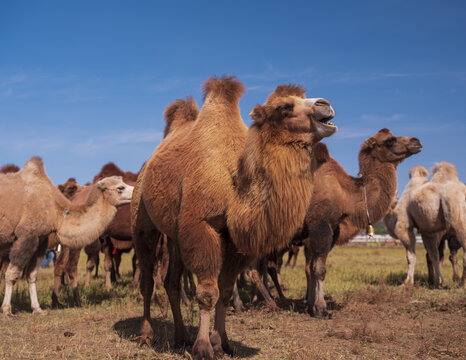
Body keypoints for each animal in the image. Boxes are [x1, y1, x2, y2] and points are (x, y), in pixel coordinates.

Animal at [0, 158, 135, 316]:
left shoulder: (41, 239)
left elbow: (32, 275)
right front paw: (7, 310)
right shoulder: (27, 236)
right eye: (120, 188)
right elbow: (11, 274)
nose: (136, 190)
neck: (57, 213)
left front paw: (38, 309)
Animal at [133, 74, 336, 358]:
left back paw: (181, 337)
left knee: (171, 281)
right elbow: (208, 292)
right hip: (143, 219)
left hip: (175, 235)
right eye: (284, 107)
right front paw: (203, 347)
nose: (325, 104)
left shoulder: (235, 241)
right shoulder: (202, 226)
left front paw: (222, 343)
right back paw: (146, 335)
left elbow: (226, 291)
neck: (235, 186)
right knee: (148, 279)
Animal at [300, 129, 420, 318]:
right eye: (390, 140)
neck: (345, 194)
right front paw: (321, 309)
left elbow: (312, 268)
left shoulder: (331, 230)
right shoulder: (320, 225)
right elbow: (319, 270)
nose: (416, 141)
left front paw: (311, 305)